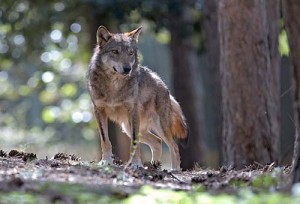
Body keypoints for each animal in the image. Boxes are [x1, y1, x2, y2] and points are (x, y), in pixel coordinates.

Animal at [85, 25, 188, 169]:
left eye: (130, 53)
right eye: (115, 51)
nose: (127, 68)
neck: (114, 86)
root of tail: (162, 83)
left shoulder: (133, 112)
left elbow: (134, 143)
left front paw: (136, 164)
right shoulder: (98, 111)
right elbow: (105, 140)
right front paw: (106, 161)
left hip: (157, 126)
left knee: (174, 146)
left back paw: (174, 170)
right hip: (128, 128)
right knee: (157, 141)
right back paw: (154, 165)